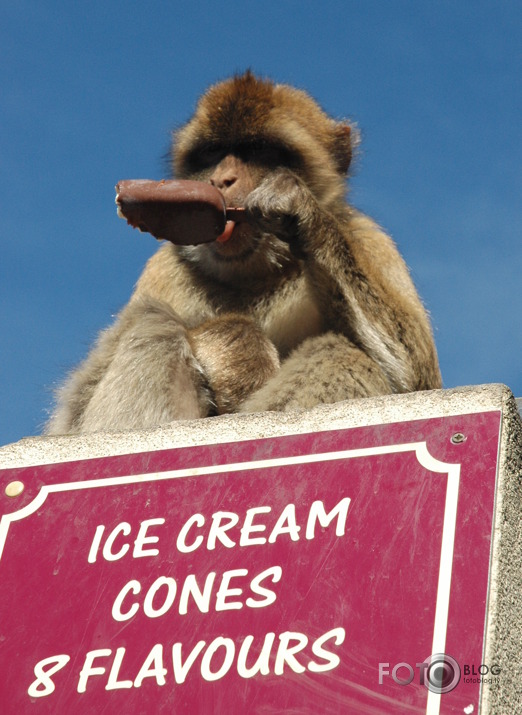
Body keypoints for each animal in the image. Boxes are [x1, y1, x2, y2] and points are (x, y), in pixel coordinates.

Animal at [46, 70, 440, 434]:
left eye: (261, 151)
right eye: (212, 153)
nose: (221, 180)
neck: (256, 272)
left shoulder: (369, 237)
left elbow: (414, 380)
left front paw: (297, 208)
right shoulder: (163, 268)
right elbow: (71, 419)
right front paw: (237, 346)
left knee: (343, 351)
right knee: (154, 323)